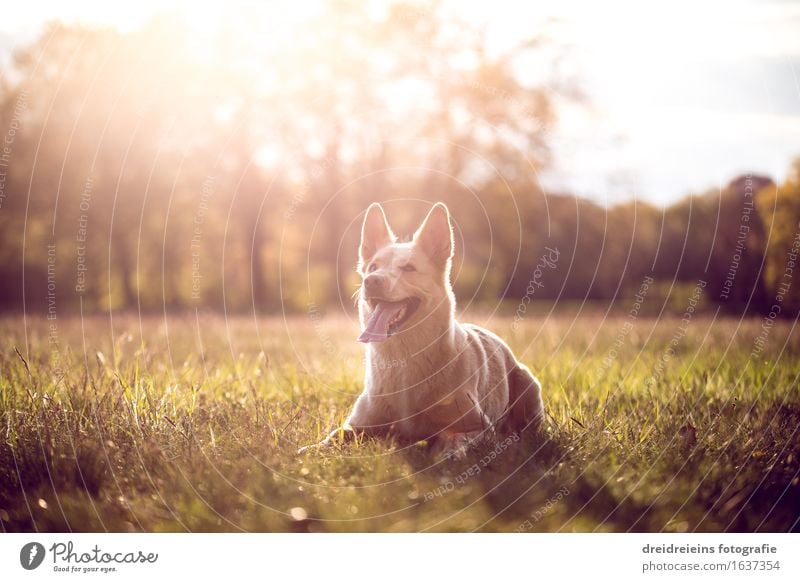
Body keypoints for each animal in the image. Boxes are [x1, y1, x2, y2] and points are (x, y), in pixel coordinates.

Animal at [300, 203, 544, 458]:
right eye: (373, 267)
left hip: (528, 384)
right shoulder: (358, 424)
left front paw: (447, 452)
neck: (403, 359)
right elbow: (335, 435)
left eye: (408, 268)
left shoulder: (479, 426)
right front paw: (309, 450)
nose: (371, 280)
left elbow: (454, 437)